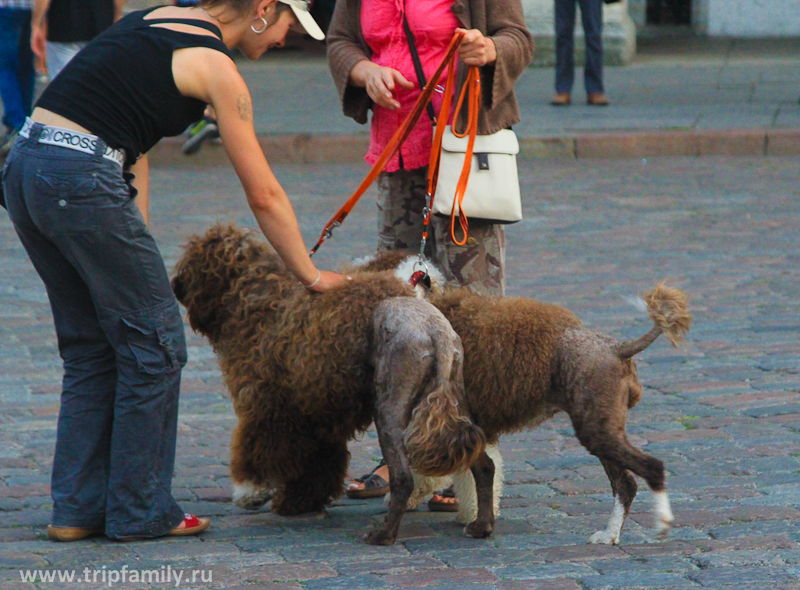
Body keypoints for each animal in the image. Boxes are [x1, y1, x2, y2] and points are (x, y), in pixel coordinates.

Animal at [171, 225, 484, 544]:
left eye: (192, 261)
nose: (174, 284)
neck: (257, 301)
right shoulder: (318, 410)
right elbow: (319, 462)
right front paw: (299, 501)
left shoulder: (267, 403)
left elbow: (259, 446)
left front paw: (252, 492)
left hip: (391, 409)